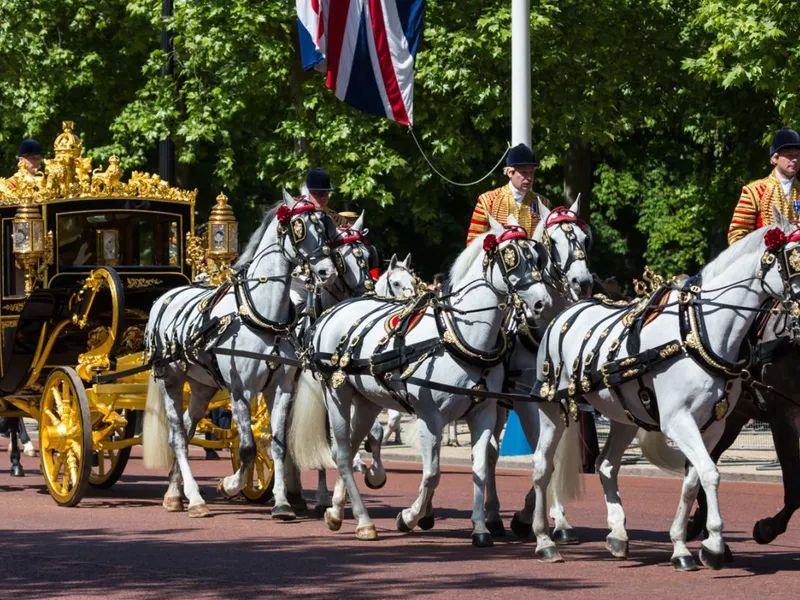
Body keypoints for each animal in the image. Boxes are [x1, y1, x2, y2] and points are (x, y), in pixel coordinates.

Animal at [144, 195, 338, 516]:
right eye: (299, 228)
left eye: (327, 228)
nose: (328, 273)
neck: (262, 318)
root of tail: (165, 297)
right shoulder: (241, 390)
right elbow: (248, 447)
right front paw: (230, 485)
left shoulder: (281, 388)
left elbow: (277, 445)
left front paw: (282, 503)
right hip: (170, 380)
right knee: (177, 437)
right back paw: (195, 499)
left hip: (202, 386)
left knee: (186, 429)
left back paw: (175, 493)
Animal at [290, 214, 552, 544]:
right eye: (511, 257)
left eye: (537, 256)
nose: (542, 303)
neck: (458, 336)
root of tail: (331, 313)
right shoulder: (430, 417)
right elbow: (432, 473)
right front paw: (410, 517)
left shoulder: (483, 412)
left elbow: (480, 468)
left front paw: (480, 528)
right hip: (337, 395)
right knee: (343, 453)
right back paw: (363, 521)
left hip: (366, 401)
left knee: (347, 447)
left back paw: (337, 511)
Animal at [528, 209, 796, 568]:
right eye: (794, 258)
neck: (697, 331)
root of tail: (566, 311)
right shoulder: (679, 421)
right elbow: (710, 474)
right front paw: (714, 544)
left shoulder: (712, 426)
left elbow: (693, 480)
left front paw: (682, 545)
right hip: (552, 410)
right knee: (543, 466)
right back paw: (544, 539)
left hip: (624, 416)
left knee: (605, 465)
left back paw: (617, 534)